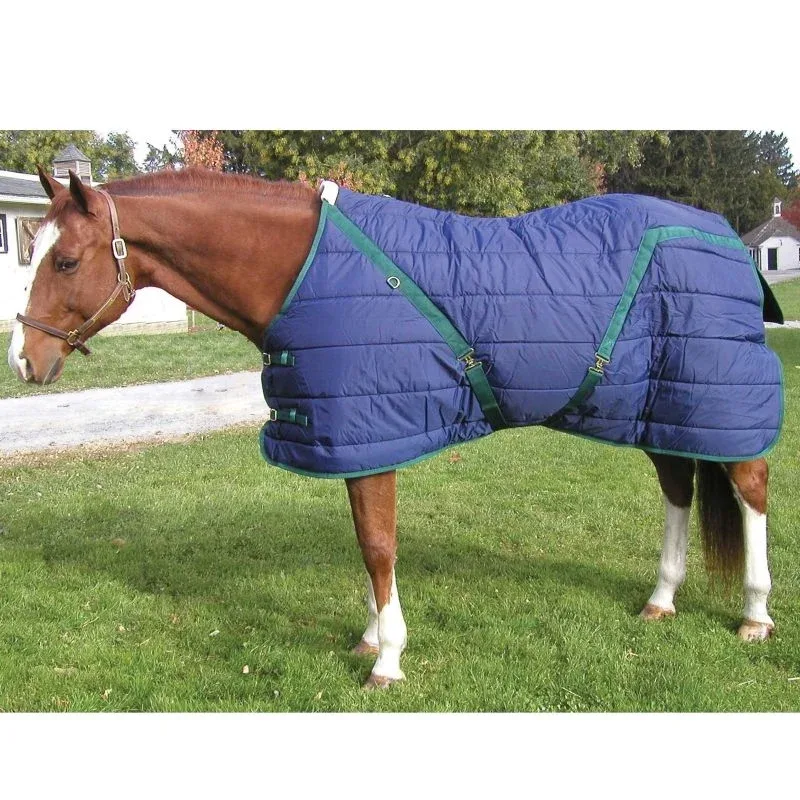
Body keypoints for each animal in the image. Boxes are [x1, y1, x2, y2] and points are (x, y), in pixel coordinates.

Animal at [7, 166, 780, 689]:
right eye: (33, 248)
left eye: (66, 260)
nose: (23, 360)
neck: (308, 269)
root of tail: (720, 233)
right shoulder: (353, 437)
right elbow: (364, 545)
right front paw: (369, 638)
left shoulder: (372, 438)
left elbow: (378, 548)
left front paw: (388, 660)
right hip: (663, 405)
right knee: (679, 487)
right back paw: (660, 600)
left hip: (717, 398)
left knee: (750, 487)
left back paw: (755, 615)